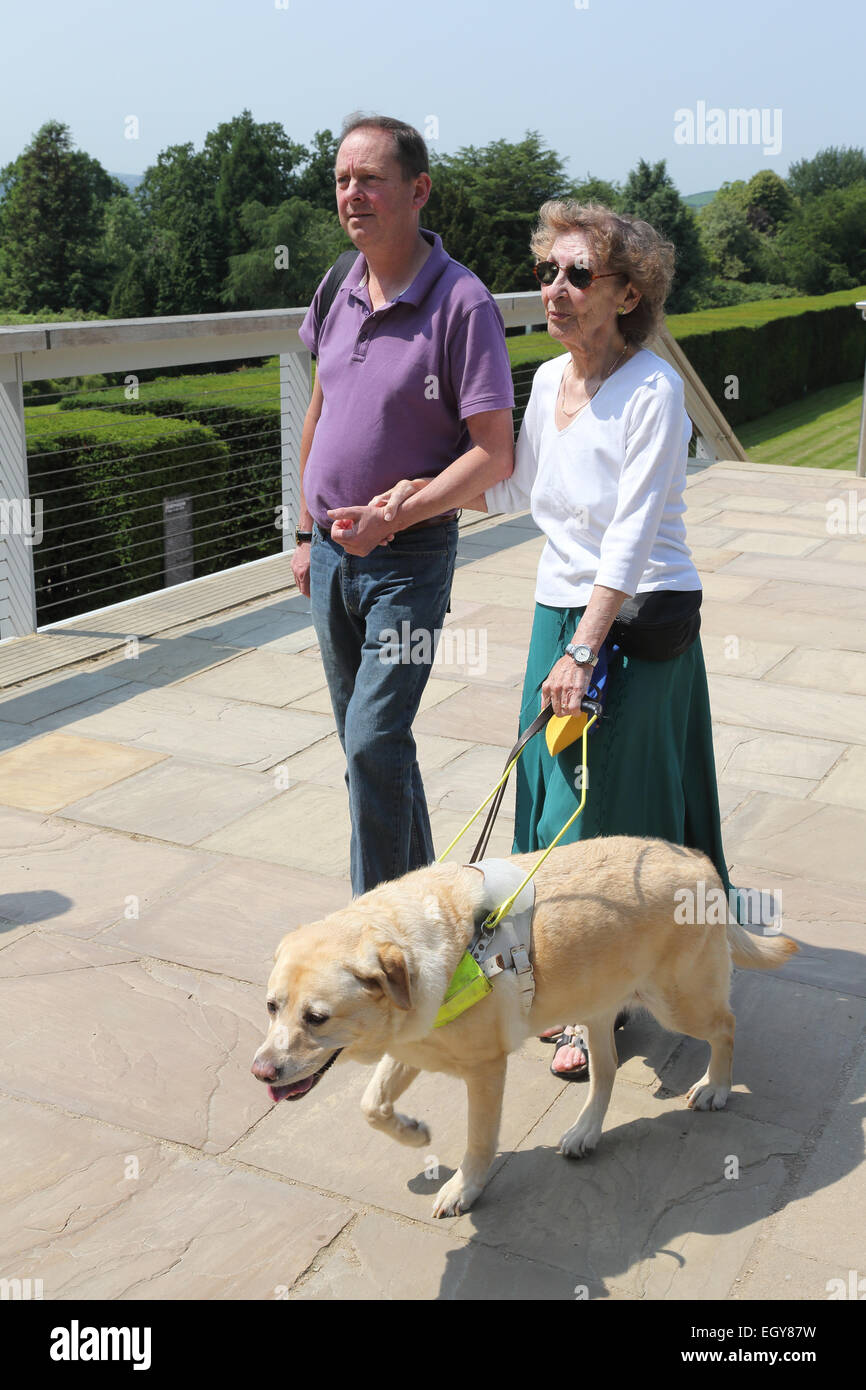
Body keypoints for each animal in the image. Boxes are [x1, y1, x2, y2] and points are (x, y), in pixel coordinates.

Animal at [252, 834, 800, 1217]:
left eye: (317, 1018)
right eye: (271, 1007)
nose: (260, 1072)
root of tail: (698, 858)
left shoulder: (484, 1070)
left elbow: (478, 1141)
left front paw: (464, 1188)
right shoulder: (411, 1046)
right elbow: (371, 1106)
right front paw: (413, 1133)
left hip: (678, 1001)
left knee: (726, 1026)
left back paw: (716, 1087)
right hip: (596, 1007)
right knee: (606, 1072)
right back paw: (585, 1131)